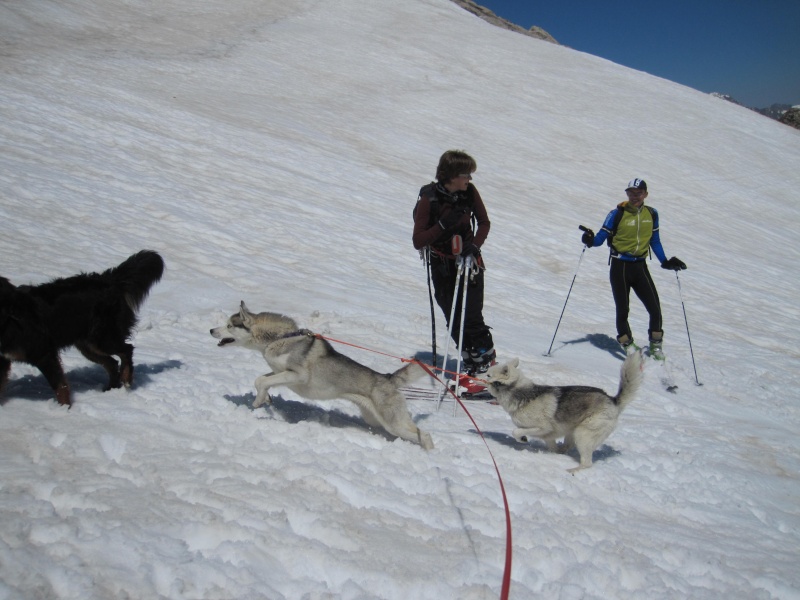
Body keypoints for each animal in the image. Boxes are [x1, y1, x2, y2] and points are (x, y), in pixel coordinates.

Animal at [0, 248, 166, 408]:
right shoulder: (3, 360)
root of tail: (108, 280)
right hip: (88, 345)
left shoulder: (44, 353)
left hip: (102, 338)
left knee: (127, 350)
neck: (9, 317)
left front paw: (64, 409)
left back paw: (126, 381)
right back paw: (111, 388)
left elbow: (60, 386)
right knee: (112, 362)